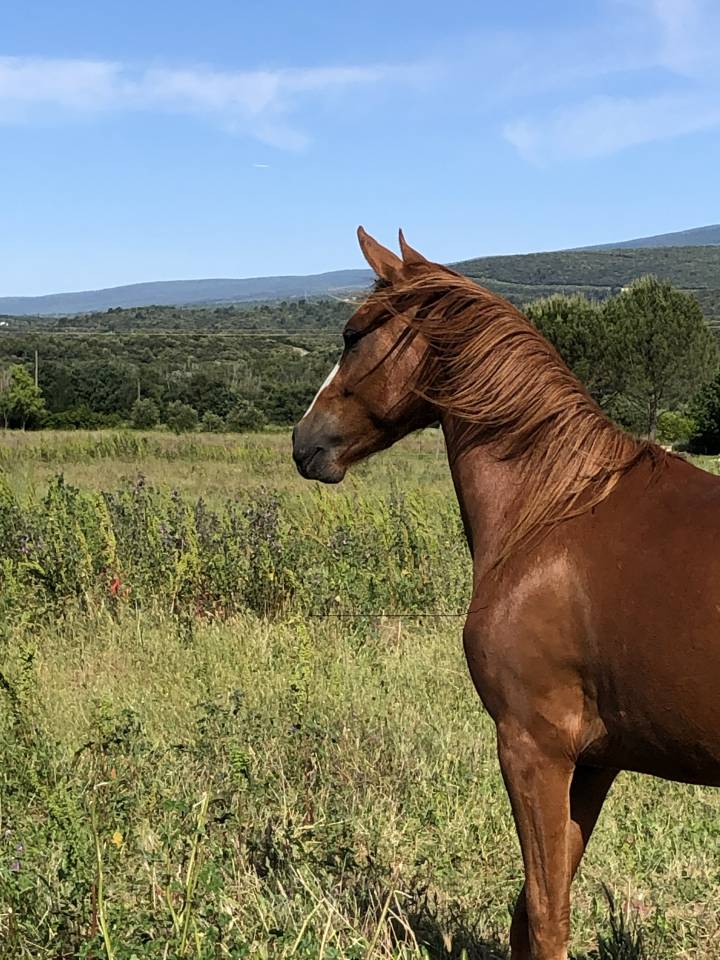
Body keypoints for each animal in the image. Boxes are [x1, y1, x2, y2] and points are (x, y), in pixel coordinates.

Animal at [291, 227, 720, 960]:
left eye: (352, 335)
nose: (303, 441)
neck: (555, 511)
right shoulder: (594, 761)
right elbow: (530, 910)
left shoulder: (532, 747)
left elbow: (546, 916)